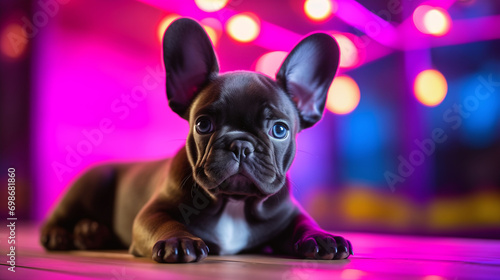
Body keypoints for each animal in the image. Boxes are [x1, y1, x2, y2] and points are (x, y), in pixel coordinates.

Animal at [41, 17, 354, 262]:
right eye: (203, 124)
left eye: (279, 130)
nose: (240, 144)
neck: (234, 202)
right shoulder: (151, 212)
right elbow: (162, 222)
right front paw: (178, 241)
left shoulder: (289, 214)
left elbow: (305, 223)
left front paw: (322, 237)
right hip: (92, 182)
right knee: (57, 218)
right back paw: (61, 235)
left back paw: (90, 233)